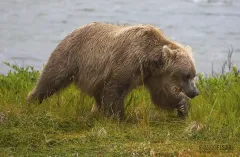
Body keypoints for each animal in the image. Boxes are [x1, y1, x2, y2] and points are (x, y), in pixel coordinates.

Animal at [26, 21, 199, 119]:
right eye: (186, 75)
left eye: (193, 75)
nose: (195, 92)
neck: (149, 59)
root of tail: (74, 30)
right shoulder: (127, 62)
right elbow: (115, 89)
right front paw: (118, 116)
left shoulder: (154, 76)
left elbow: (162, 95)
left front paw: (182, 107)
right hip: (71, 56)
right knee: (52, 78)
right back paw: (32, 100)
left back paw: (96, 110)